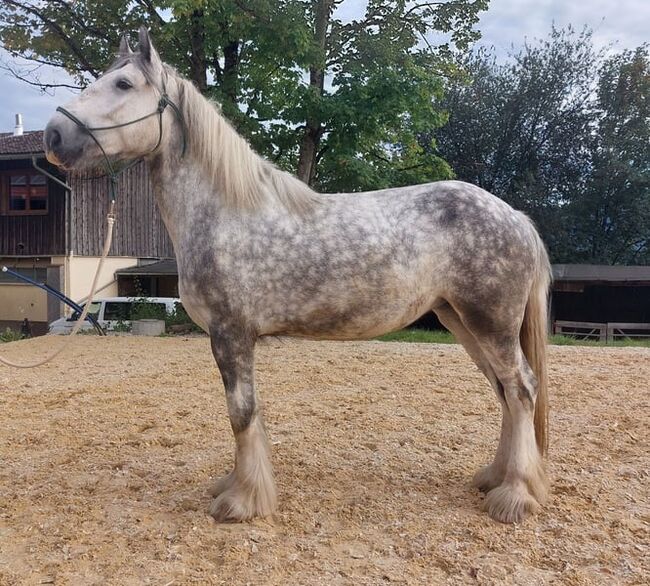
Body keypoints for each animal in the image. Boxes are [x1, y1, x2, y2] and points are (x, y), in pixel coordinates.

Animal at [43, 27, 548, 524]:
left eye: (123, 84)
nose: (53, 135)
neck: (226, 213)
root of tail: (515, 217)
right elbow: (247, 416)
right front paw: (235, 486)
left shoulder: (230, 334)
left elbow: (241, 414)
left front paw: (242, 502)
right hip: (460, 321)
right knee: (505, 392)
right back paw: (494, 479)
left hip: (491, 324)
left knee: (521, 389)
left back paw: (515, 496)